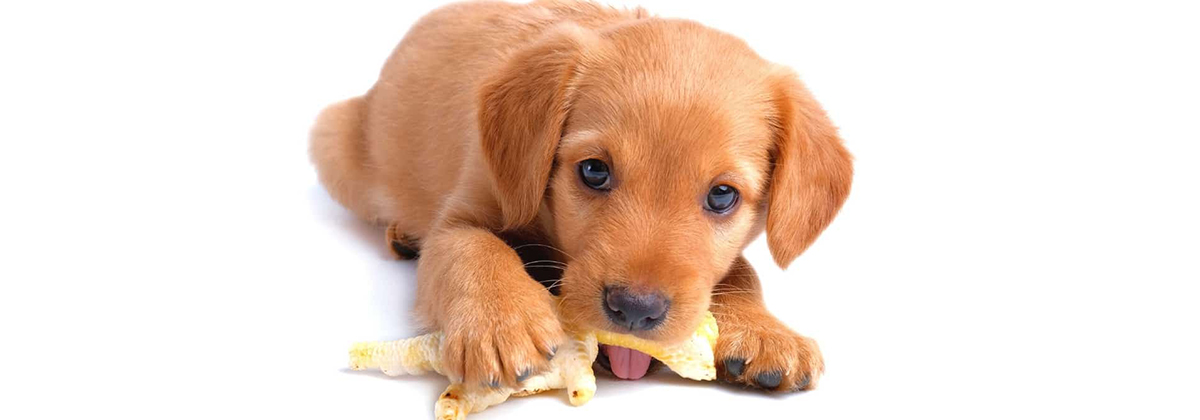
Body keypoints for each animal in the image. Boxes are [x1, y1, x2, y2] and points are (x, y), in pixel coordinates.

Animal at [309, 0, 854, 391]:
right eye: (594, 171)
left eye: (722, 197)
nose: (635, 309)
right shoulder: (461, 215)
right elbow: (473, 247)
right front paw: (502, 322)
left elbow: (743, 270)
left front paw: (765, 332)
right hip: (333, 141)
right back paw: (402, 232)